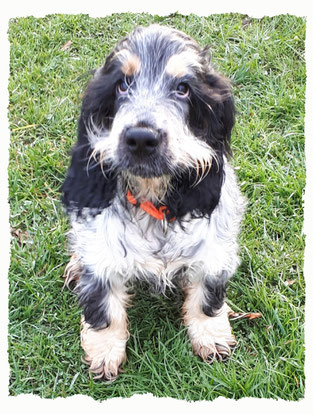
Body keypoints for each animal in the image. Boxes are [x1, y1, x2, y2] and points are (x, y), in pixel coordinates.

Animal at [61, 24, 245, 382]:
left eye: (183, 89)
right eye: (122, 84)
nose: (141, 138)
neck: (152, 194)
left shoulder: (215, 246)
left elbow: (208, 293)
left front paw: (211, 335)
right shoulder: (101, 249)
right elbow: (102, 305)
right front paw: (104, 352)